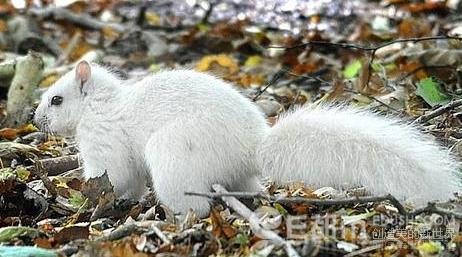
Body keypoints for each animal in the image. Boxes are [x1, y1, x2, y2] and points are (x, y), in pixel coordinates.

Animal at [34, 61, 460, 215]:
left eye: (57, 99)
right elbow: (131, 182)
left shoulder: (104, 142)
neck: (100, 105)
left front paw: (84, 197)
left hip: (174, 154)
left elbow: (112, 175)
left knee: (195, 205)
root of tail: (253, 150)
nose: (34, 120)